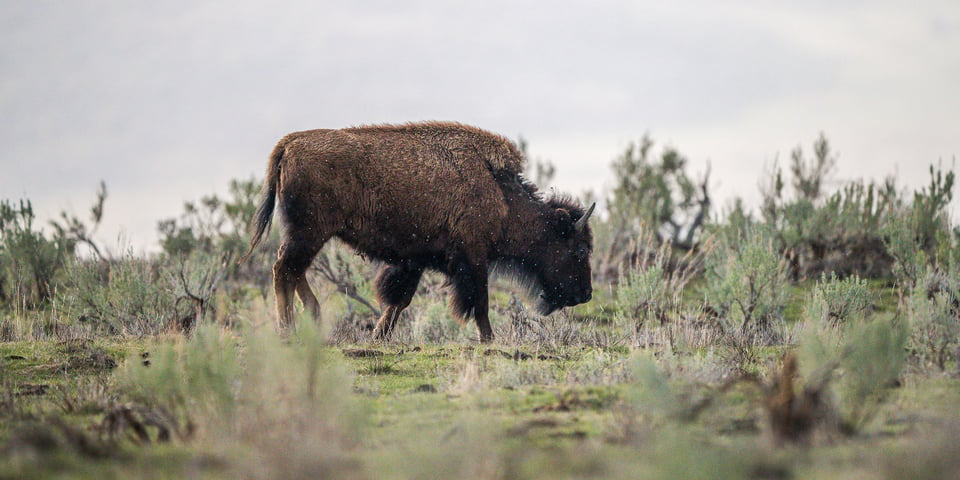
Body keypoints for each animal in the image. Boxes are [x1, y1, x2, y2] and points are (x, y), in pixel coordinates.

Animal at [244, 122, 592, 344]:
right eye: (579, 249)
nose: (586, 294)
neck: (499, 191)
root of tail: (291, 142)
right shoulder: (473, 258)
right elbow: (479, 302)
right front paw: (490, 340)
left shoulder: (415, 260)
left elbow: (399, 299)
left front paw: (379, 336)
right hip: (308, 233)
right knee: (284, 270)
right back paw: (288, 328)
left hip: (309, 235)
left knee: (293, 271)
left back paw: (313, 318)